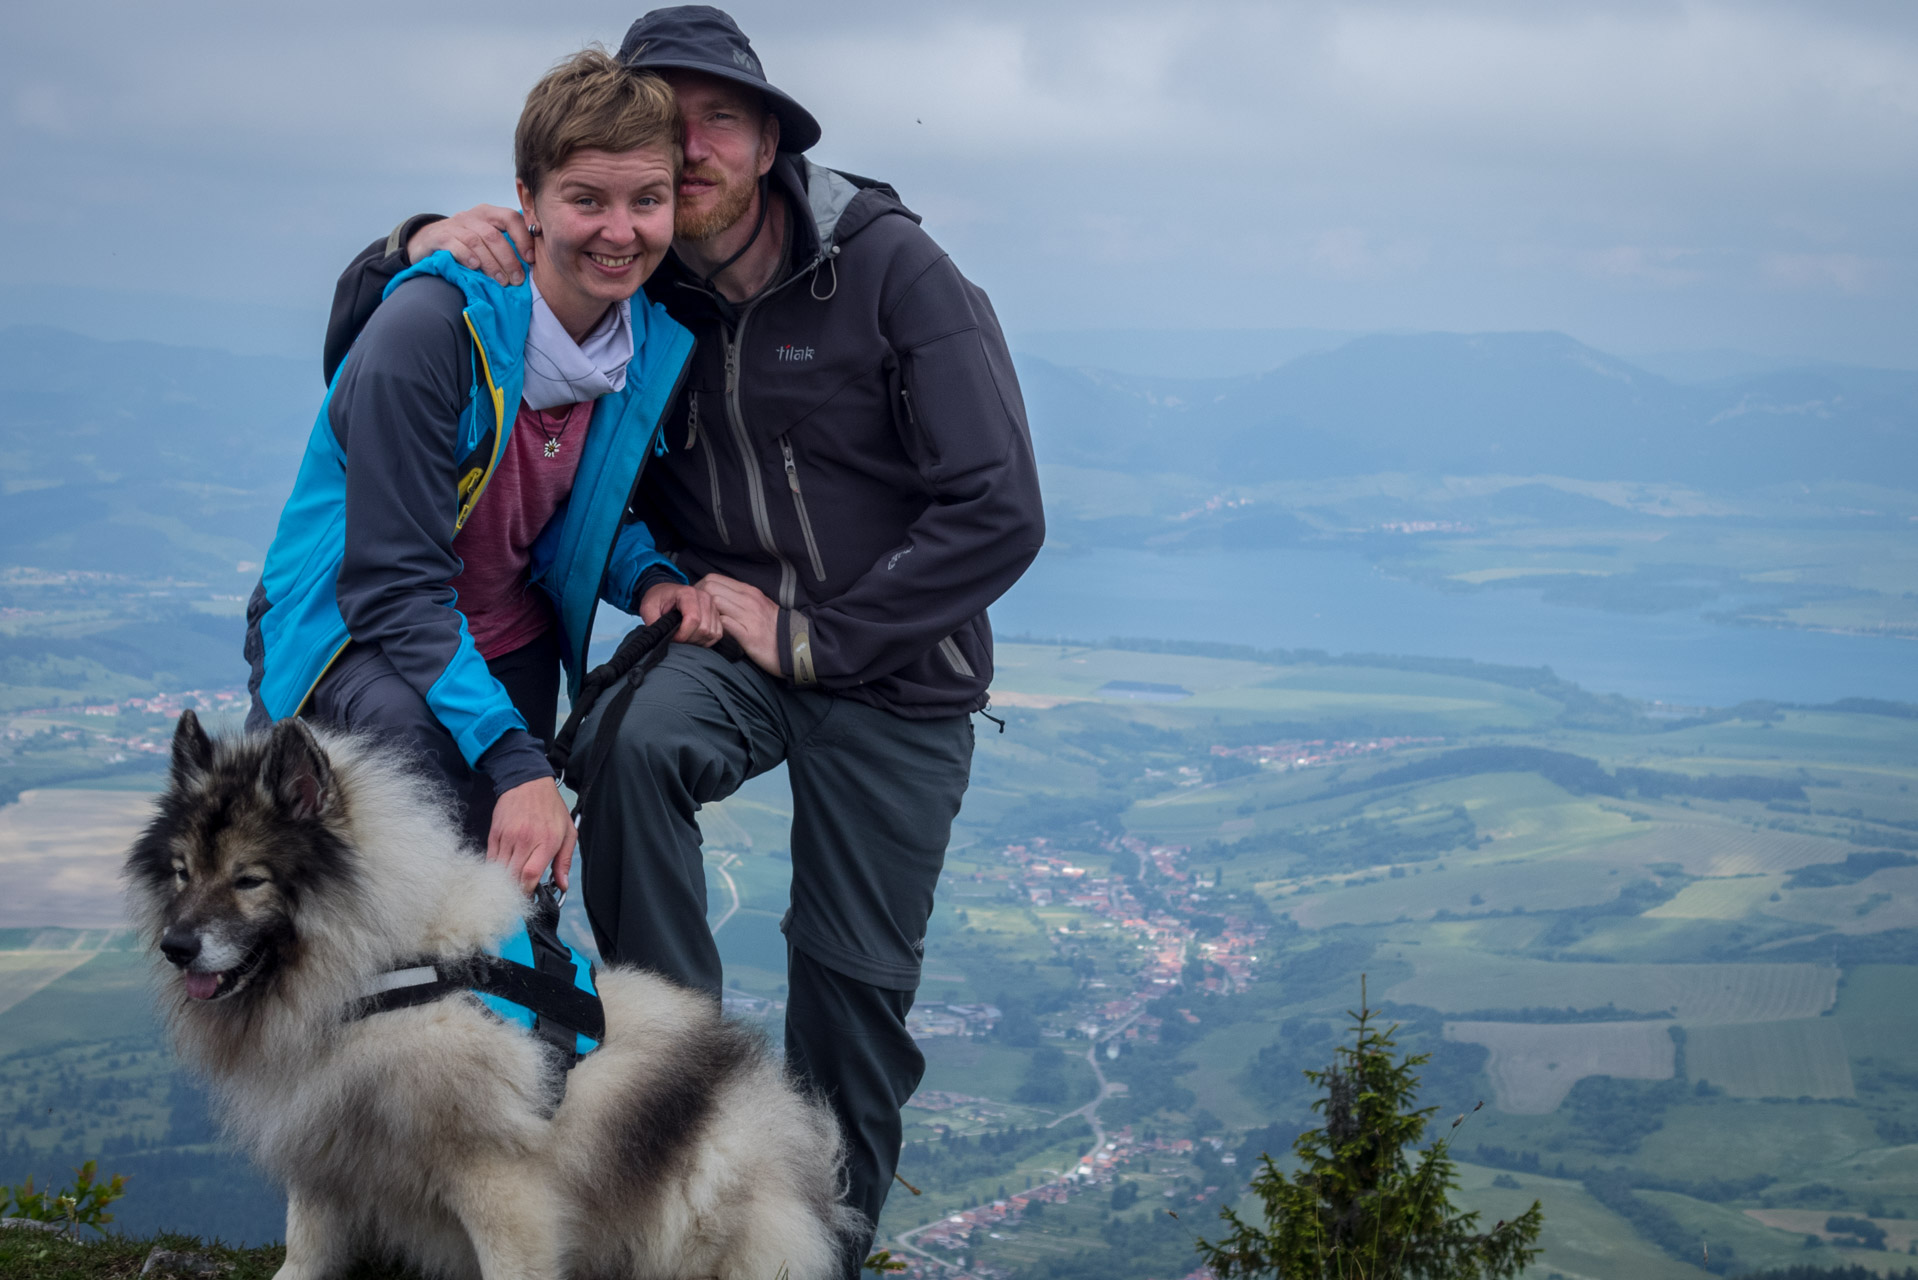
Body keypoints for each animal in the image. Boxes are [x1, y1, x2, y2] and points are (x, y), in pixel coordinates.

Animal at [127, 717, 863, 1280]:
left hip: (703, 1194)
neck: (389, 969)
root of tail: (810, 1166)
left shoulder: (497, 1178)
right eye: (182, 872)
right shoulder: (323, 1139)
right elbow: (305, 1244)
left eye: (249, 879)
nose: (176, 945)